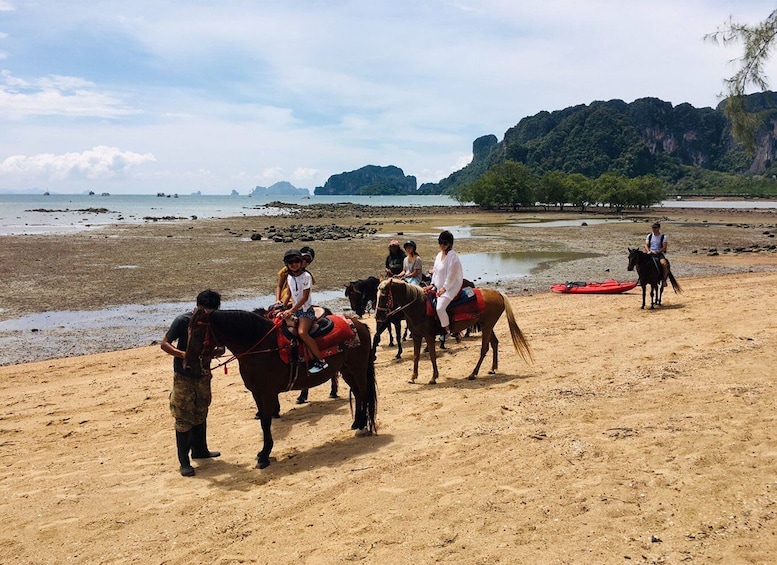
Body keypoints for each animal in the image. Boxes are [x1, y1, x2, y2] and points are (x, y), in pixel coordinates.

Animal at [183, 308, 376, 468]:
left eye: (198, 333)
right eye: (188, 332)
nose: (188, 367)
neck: (263, 348)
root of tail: (358, 324)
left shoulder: (267, 393)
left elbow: (266, 422)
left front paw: (264, 456)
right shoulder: (256, 393)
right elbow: (263, 422)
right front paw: (264, 453)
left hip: (357, 369)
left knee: (363, 393)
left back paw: (363, 426)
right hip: (346, 370)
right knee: (357, 394)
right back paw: (357, 423)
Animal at [372, 278, 532, 384]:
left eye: (384, 295)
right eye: (376, 295)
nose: (378, 316)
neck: (419, 306)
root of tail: (498, 293)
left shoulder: (428, 336)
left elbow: (432, 355)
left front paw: (433, 377)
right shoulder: (417, 336)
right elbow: (416, 356)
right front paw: (413, 377)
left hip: (487, 326)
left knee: (484, 348)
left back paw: (473, 373)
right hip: (487, 325)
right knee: (494, 343)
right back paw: (493, 368)